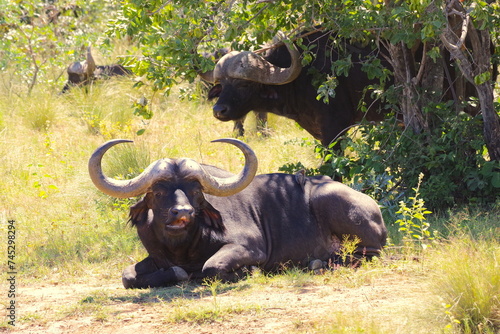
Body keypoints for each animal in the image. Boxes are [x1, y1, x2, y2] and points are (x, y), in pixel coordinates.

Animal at [89, 138, 386, 290]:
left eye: (195, 191)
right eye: (159, 192)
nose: (182, 212)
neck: (183, 247)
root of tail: (374, 207)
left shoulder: (250, 248)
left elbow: (211, 267)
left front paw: (249, 271)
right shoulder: (155, 257)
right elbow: (128, 276)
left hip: (336, 207)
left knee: (363, 255)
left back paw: (317, 262)